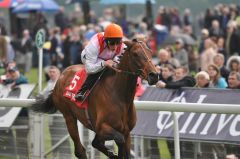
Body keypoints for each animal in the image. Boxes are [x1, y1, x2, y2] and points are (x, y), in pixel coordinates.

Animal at [31, 39, 159, 158]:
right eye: (135, 54)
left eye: (150, 52)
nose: (154, 75)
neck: (121, 97)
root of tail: (61, 76)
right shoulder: (103, 127)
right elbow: (119, 139)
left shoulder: (126, 132)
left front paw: (113, 154)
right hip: (69, 117)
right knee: (80, 150)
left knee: (94, 143)